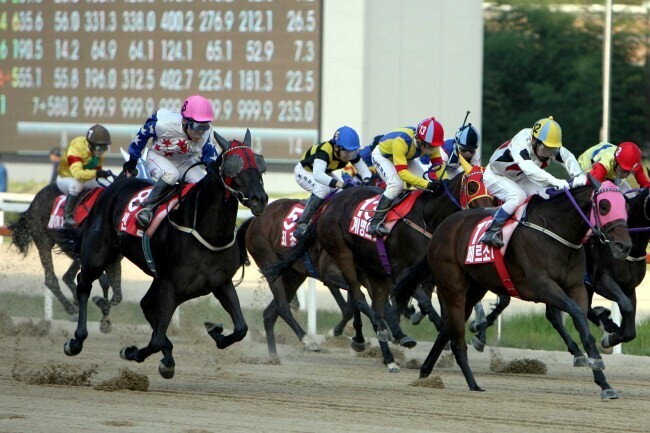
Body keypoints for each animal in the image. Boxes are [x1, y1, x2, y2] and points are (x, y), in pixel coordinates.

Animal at [11, 181, 121, 330]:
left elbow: (113, 290)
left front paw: (105, 319)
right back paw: (71, 307)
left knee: (67, 276)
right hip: (42, 239)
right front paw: (103, 311)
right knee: (51, 279)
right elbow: (104, 282)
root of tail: (35, 199)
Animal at [55, 130, 268, 376]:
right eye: (234, 165)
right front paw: (132, 352)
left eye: (259, 164)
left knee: (145, 304)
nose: (260, 199)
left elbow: (241, 328)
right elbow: (155, 340)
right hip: (97, 254)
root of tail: (115, 185)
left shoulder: (221, 283)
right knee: (84, 283)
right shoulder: (171, 285)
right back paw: (76, 341)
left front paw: (214, 330)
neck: (206, 232)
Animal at [266, 162, 494, 372]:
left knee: (368, 302)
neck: (427, 218)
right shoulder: (401, 271)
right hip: (342, 254)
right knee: (359, 298)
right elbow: (423, 302)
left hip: (368, 266)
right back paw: (379, 335)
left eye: (492, 188)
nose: (487, 215)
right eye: (472, 186)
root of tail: (329, 206)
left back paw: (387, 353)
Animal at [392, 179, 632, 398]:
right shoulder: (542, 286)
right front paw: (597, 359)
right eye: (604, 205)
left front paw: (604, 383)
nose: (624, 246)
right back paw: (473, 384)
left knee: (446, 329)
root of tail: (441, 229)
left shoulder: (576, 287)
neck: (556, 232)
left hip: (475, 288)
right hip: (453, 286)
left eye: (625, 206)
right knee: (456, 338)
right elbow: (575, 313)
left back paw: (425, 373)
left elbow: (583, 325)